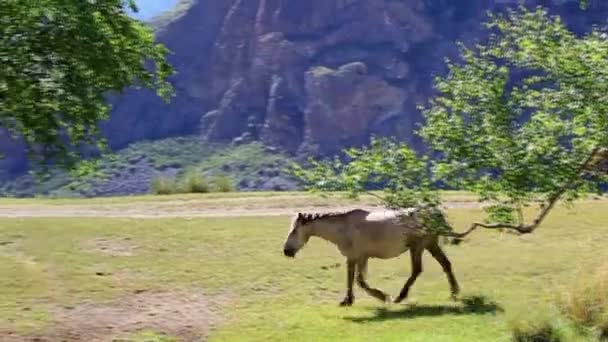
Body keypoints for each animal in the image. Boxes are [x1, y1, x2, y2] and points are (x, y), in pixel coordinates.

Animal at [282, 207, 458, 306]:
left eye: (294, 231)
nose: (286, 251)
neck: (344, 228)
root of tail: (432, 214)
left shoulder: (361, 257)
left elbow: (360, 281)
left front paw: (383, 296)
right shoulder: (353, 257)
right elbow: (351, 278)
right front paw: (347, 301)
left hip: (418, 247)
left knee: (417, 270)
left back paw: (399, 297)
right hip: (429, 245)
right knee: (446, 264)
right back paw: (454, 292)